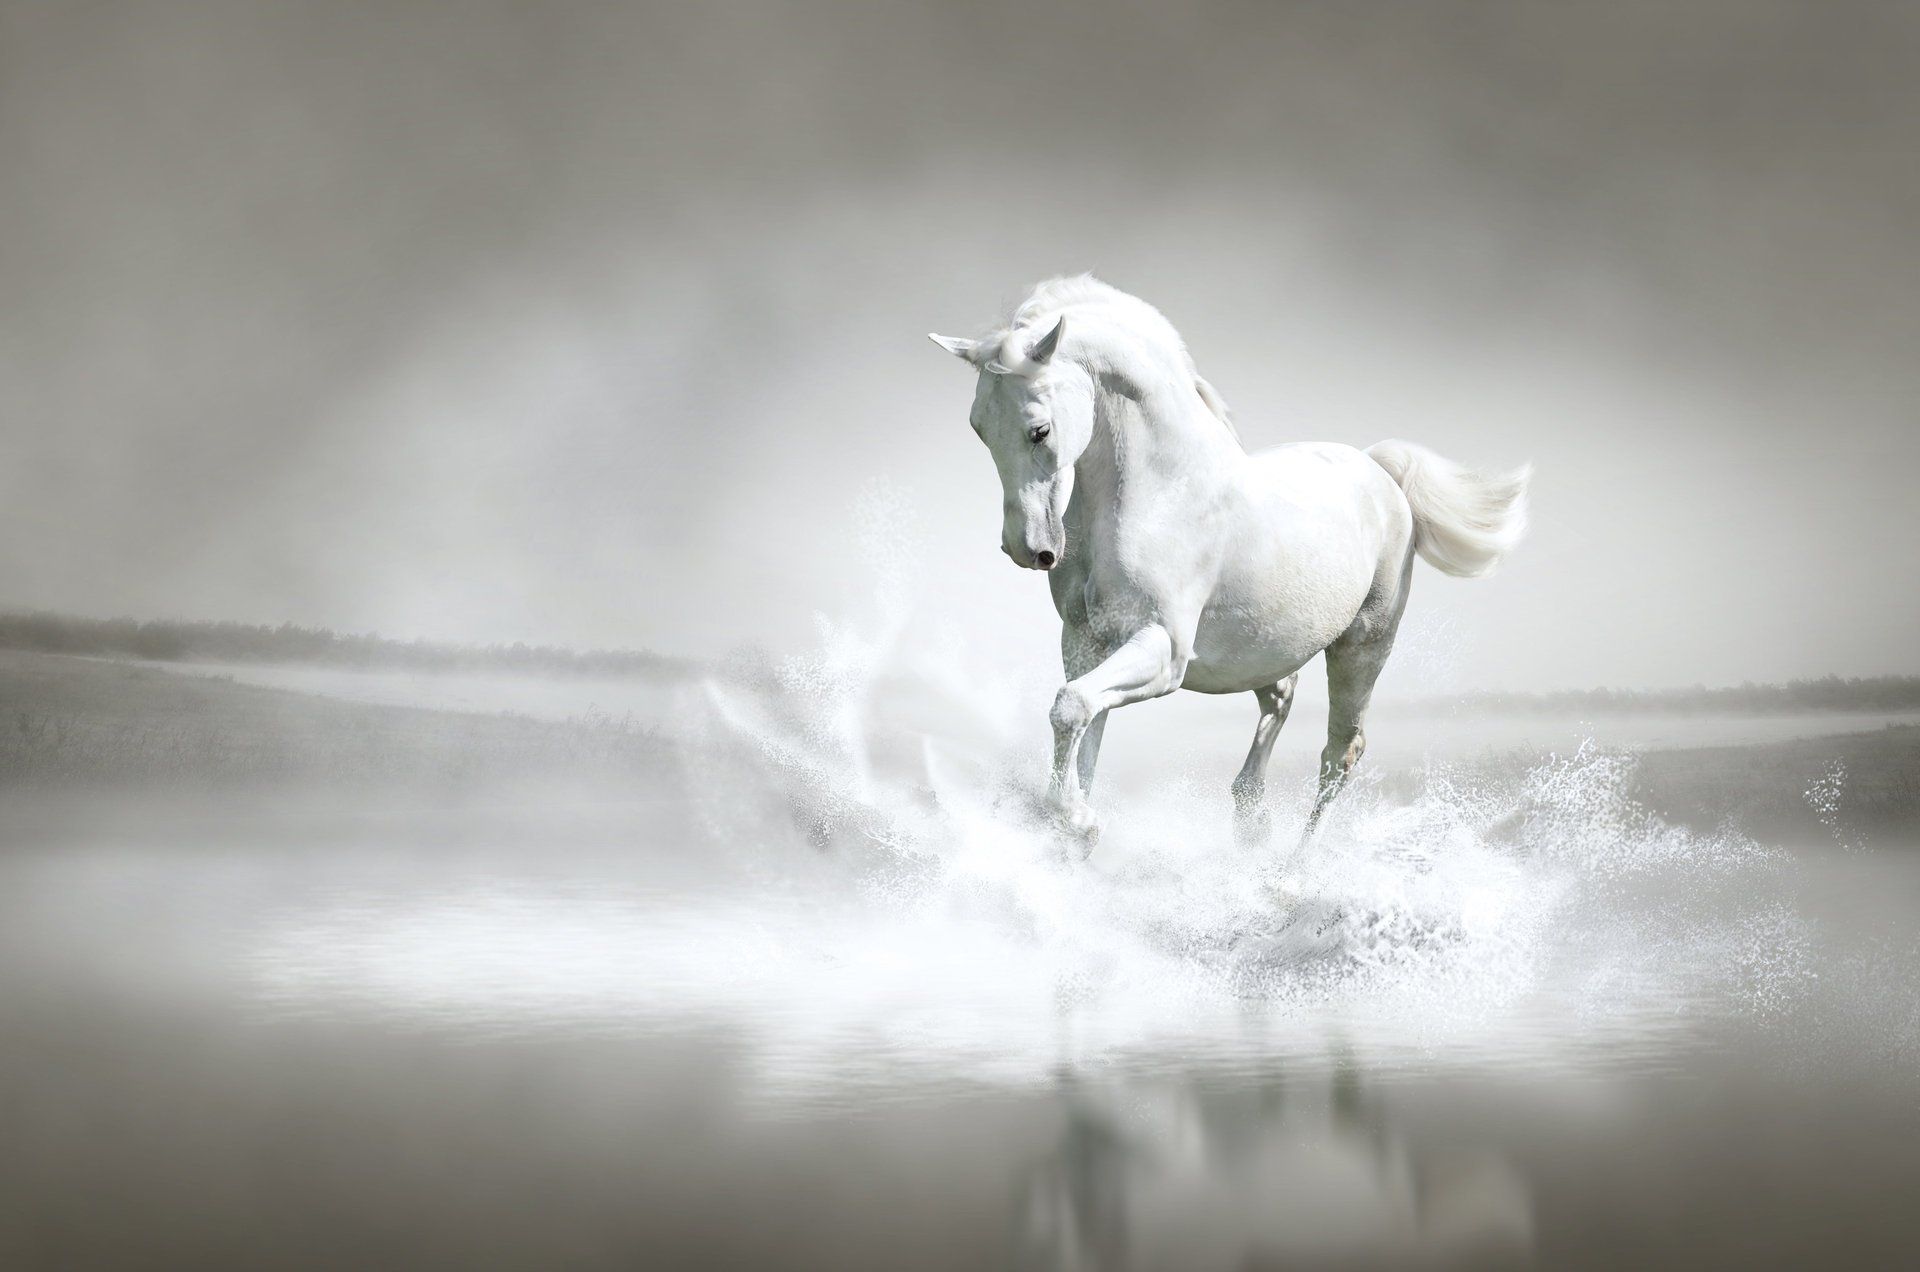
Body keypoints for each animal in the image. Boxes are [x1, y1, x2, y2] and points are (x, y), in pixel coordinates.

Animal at [929, 276, 1530, 846]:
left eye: (1040, 430)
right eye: (979, 428)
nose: (1027, 549)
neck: (1160, 493)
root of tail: (1378, 470)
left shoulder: (1163, 650)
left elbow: (1072, 708)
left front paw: (1077, 823)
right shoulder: (1086, 642)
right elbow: (1083, 728)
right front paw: (1072, 827)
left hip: (1363, 645)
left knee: (1340, 753)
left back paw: (1293, 868)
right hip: (1267, 647)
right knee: (1281, 700)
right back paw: (1251, 819)